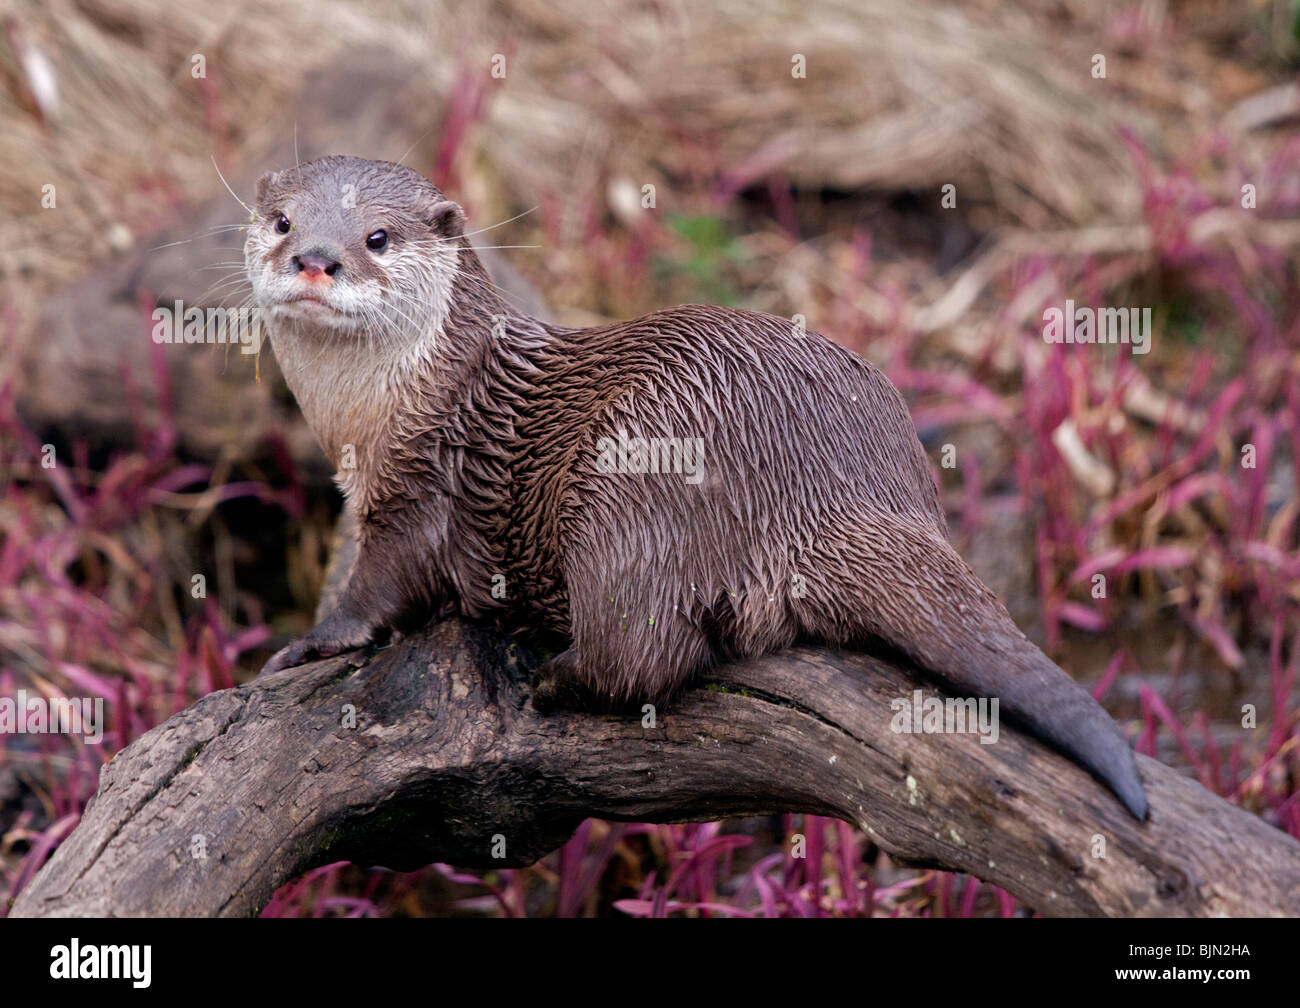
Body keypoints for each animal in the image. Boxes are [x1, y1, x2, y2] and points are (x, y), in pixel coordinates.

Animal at [244, 155, 1149, 822]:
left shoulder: (417, 487)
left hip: (627, 493)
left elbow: (378, 590)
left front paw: (310, 643)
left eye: (377, 236)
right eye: (284, 221)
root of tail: (836, 489)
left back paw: (554, 680)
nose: (315, 259)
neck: (388, 410)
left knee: (643, 655)